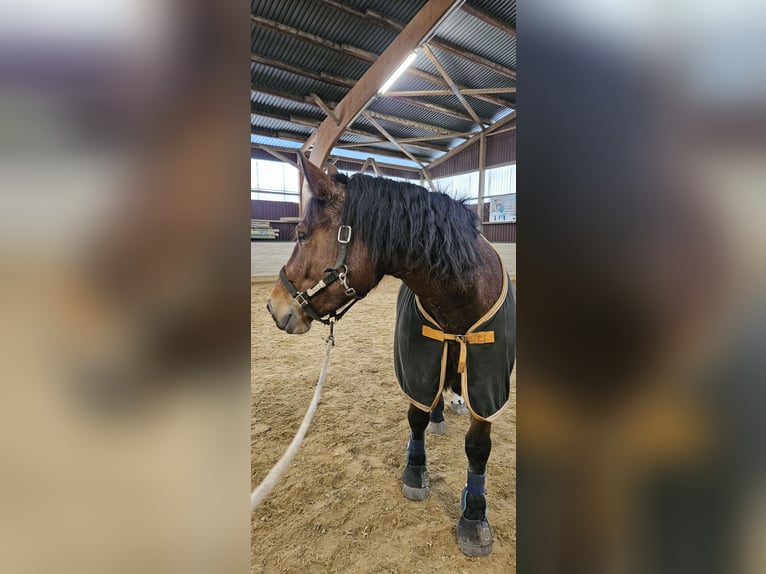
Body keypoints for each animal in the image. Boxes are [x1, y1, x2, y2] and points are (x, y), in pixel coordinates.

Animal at [268, 154, 520, 560]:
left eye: (302, 234)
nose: (273, 306)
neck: (461, 295)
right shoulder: (419, 363)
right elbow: (416, 417)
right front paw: (415, 470)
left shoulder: (488, 382)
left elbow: (478, 448)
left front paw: (474, 515)